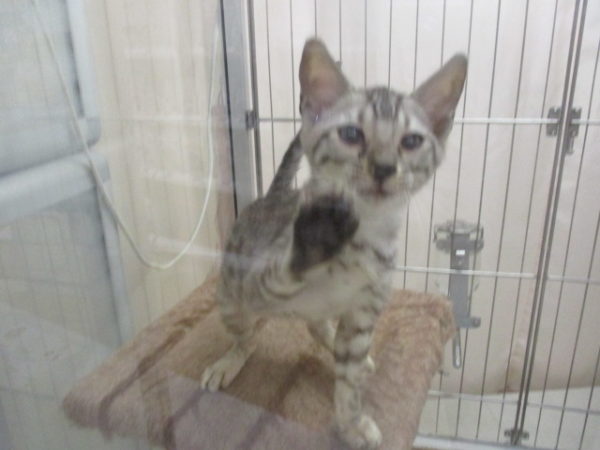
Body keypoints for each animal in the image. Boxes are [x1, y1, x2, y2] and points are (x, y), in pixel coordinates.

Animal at [201, 39, 467, 449]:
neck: (364, 236)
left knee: (320, 330)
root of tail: (272, 194)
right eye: (352, 134)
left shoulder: (363, 315)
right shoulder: (257, 280)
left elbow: (349, 383)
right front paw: (318, 235)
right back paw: (228, 362)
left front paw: (351, 423)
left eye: (411, 141)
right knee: (245, 337)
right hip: (231, 295)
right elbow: (285, 269)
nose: (384, 167)